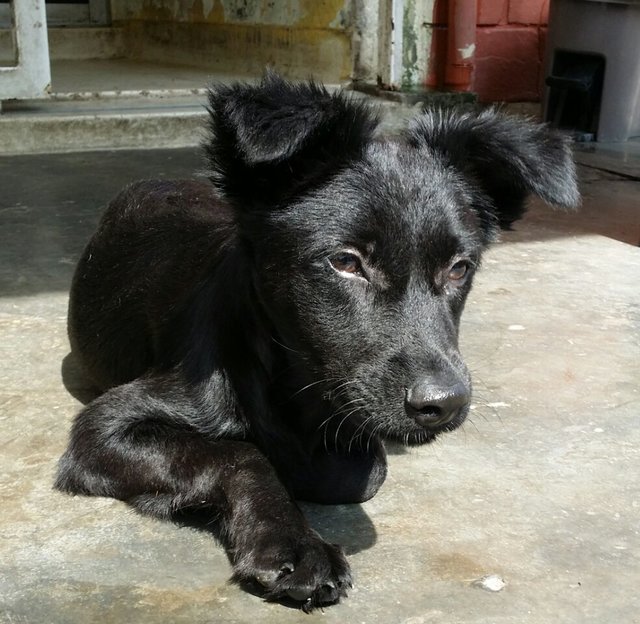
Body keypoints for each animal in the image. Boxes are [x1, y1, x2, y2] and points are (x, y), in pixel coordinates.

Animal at [56, 73, 580, 608]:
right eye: (345, 262)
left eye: (459, 268)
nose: (445, 404)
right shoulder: (105, 428)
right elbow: (241, 453)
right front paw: (292, 539)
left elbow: (360, 470)